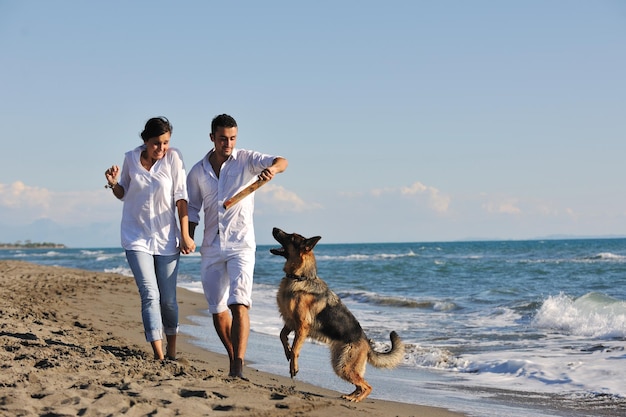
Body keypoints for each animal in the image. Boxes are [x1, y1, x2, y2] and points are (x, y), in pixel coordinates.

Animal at [270, 226, 404, 402]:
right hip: (340, 364)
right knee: (360, 384)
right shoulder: (291, 322)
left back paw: (356, 399)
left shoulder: (302, 326)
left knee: (368, 386)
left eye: (291, 237)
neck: (300, 277)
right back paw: (350, 396)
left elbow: (295, 349)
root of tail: (367, 343)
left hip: (343, 366)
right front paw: (287, 351)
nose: (274, 228)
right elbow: (282, 336)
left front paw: (293, 366)